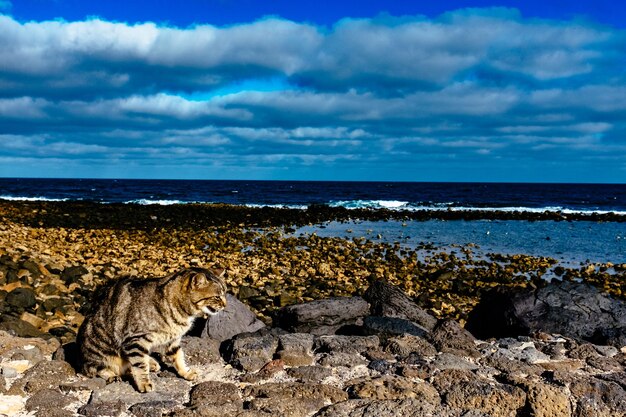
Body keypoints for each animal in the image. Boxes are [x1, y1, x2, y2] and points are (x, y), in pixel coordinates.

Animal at [76, 266, 227, 390]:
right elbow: (140, 365)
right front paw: (144, 383)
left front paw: (186, 373)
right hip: (99, 353)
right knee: (95, 369)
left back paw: (151, 363)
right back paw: (115, 375)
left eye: (225, 294)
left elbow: (179, 358)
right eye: (217, 297)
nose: (225, 305)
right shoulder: (135, 340)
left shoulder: (173, 340)